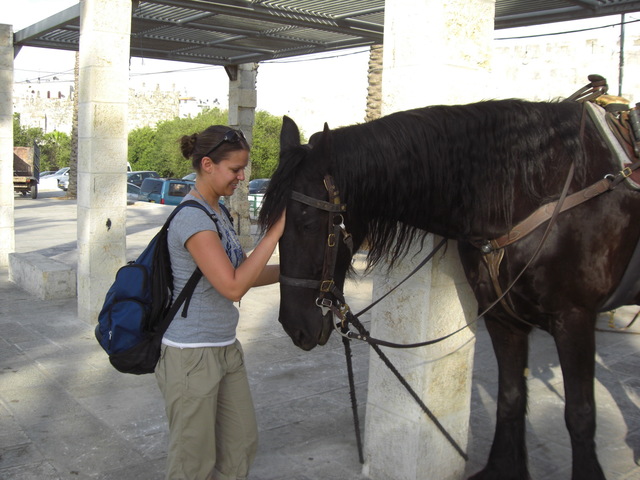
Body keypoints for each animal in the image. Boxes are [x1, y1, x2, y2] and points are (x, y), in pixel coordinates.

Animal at [258, 95, 636, 478]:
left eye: (307, 222)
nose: (294, 325)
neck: (533, 189)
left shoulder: (574, 317)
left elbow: (580, 414)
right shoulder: (502, 317)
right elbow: (511, 398)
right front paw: (503, 467)